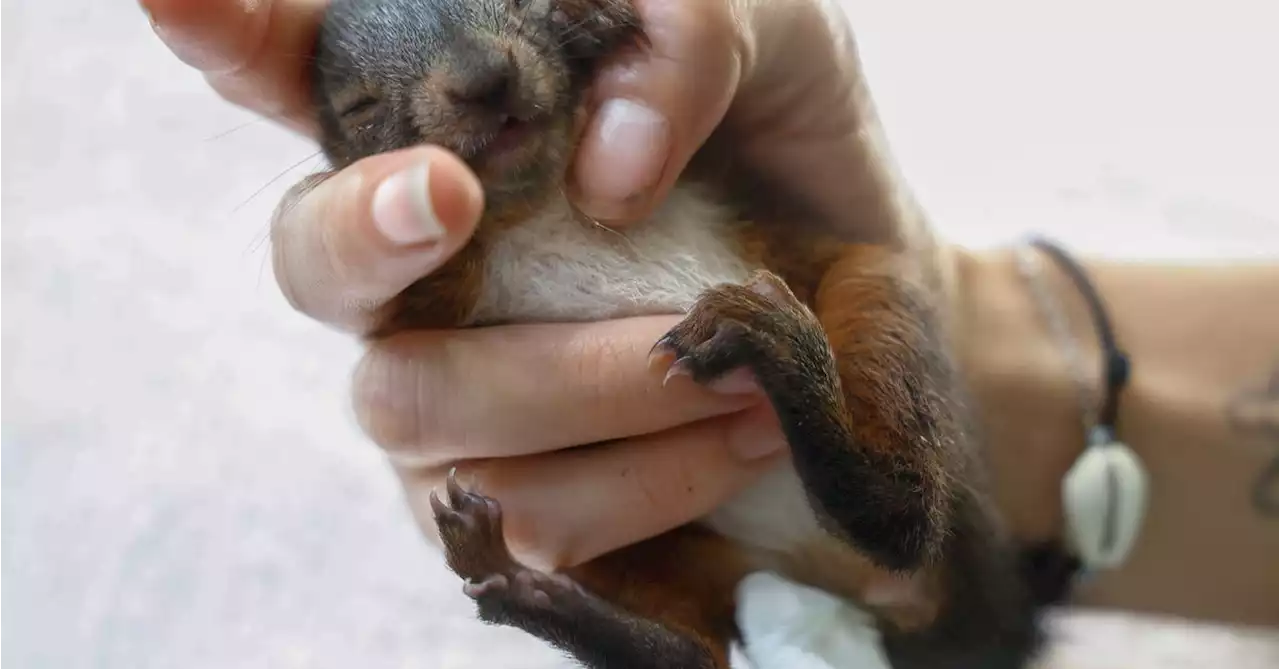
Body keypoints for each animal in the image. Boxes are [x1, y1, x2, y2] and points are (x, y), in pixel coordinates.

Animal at [309, 1, 1049, 669]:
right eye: (358, 107)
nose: (484, 77)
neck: (541, 197)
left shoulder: (715, 155)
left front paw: (587, 18)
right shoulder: (421, 307)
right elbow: (409, 277)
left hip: (876, 290)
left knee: (903, 519)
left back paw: (773, 343)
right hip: (643, 549)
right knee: (686, 655)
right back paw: (518, 583)